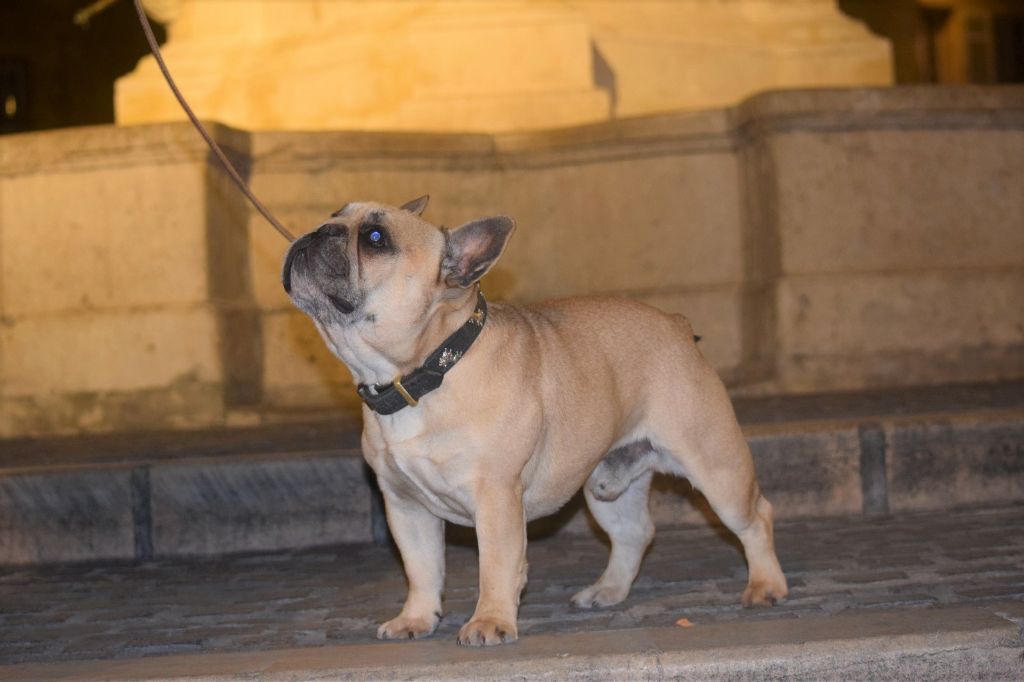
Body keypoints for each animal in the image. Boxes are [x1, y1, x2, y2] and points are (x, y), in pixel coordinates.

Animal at [284, 195, 786, 643]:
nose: (319, 230)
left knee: (755, 517)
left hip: (715, 466)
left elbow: (496, 565)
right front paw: (417, 618)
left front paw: (490, 621)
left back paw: (765, 586)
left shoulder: (495, 497)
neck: (424, 375)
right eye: (334, 214)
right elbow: (421, 567)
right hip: (606, 485)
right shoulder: (405, 505)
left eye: (375, 239)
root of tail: (677, 324)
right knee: (634, 533)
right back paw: (607, 591)